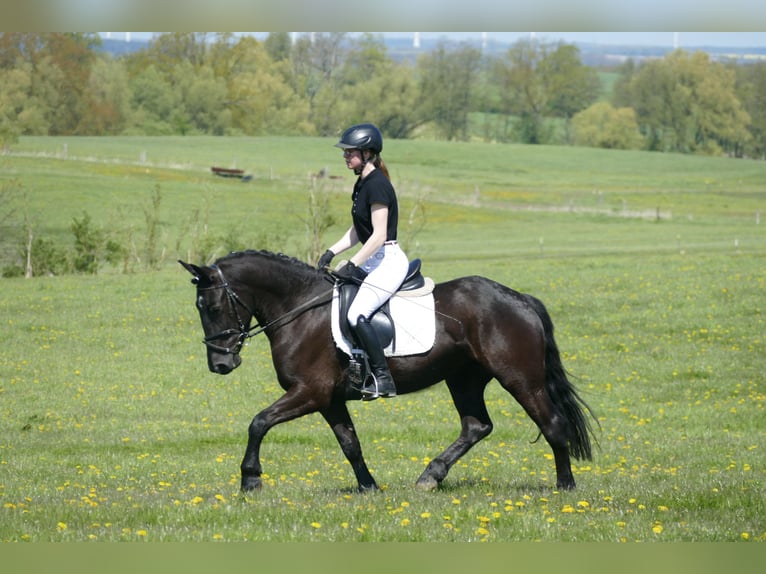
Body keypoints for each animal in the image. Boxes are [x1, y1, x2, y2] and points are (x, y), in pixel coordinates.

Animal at [182, 250, 600, 492]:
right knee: (476, 426)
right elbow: (349, 443)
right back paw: (430, 476)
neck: (300, 308)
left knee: (552, 423)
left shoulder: (309, 393)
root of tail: (519, 298)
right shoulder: (328, 400)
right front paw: (369, 488)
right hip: (463, 379)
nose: (220, 364)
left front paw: (250, 479)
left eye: (212, 307)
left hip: (520, 378)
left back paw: (565, 487)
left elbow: (258, 422)